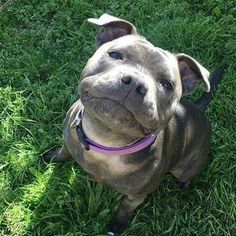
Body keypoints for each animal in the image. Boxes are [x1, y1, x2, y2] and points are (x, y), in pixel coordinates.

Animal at [42, 13, 225, 235]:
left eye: (167, 84)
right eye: (115, 54)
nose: (135, 82)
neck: (105, 142)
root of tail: (198, 109)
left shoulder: (136, 195)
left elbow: (125, 207)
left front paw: (117, 225)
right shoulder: (68, 139)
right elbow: (64, 150)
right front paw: (53, 156)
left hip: (186, 166)